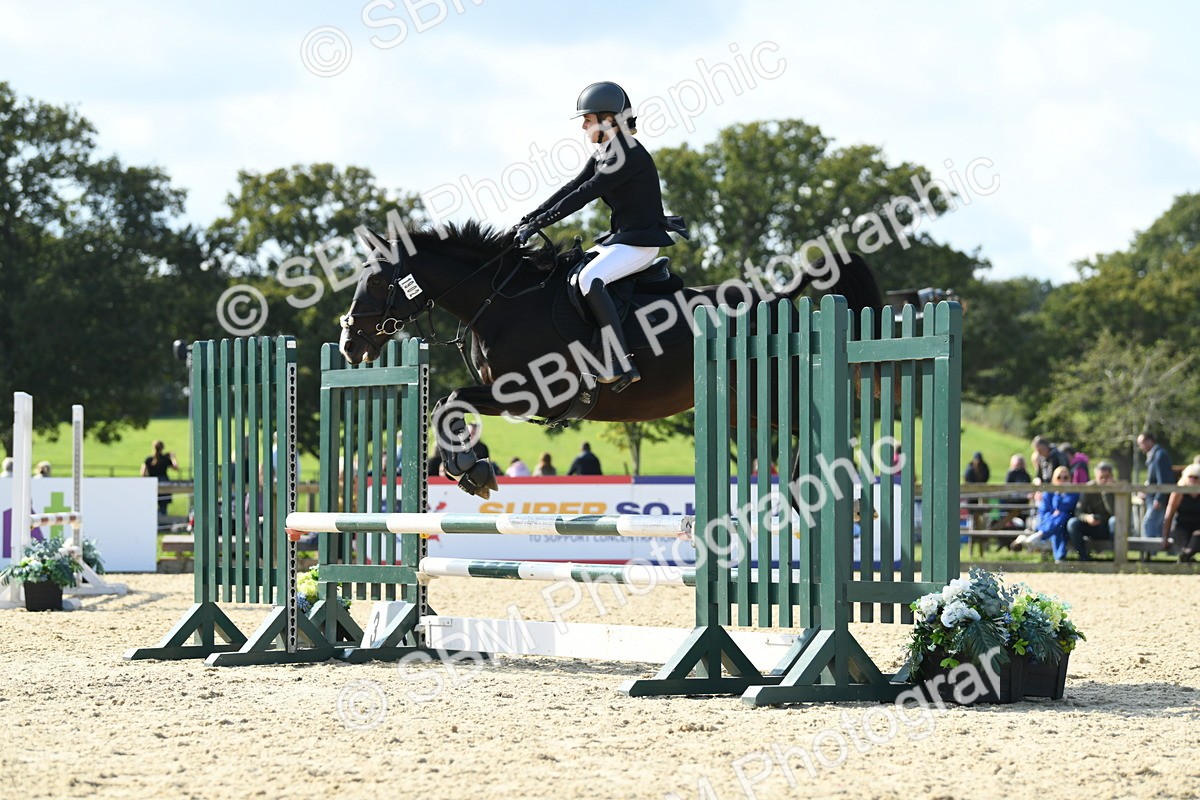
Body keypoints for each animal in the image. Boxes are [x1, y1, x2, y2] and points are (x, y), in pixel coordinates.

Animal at [339, 221, 882, 498]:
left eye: (378, 279)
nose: (349, 344)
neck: (503, 302)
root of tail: (773, 297)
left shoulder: (530, 394)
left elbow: (448, 403)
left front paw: (470, 469)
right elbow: (445, 406)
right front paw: (467, 470)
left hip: (763, 392)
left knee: (816, 425)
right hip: (743, 406)